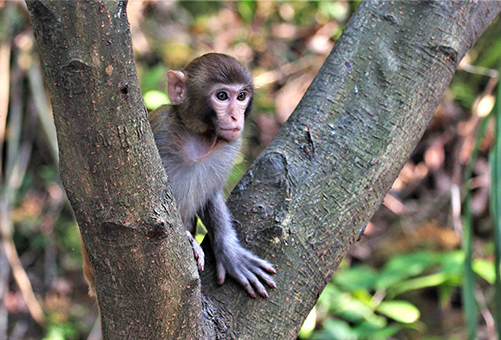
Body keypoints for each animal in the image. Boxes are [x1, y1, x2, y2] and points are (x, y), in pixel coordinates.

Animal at [83, 51, 278, 298]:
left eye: (241, 96)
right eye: (222, 96)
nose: (236, 117)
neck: (199, 139)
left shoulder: (229, 147)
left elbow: (211, 196)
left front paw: (230, 252)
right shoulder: (159, 134)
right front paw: (189, 240)